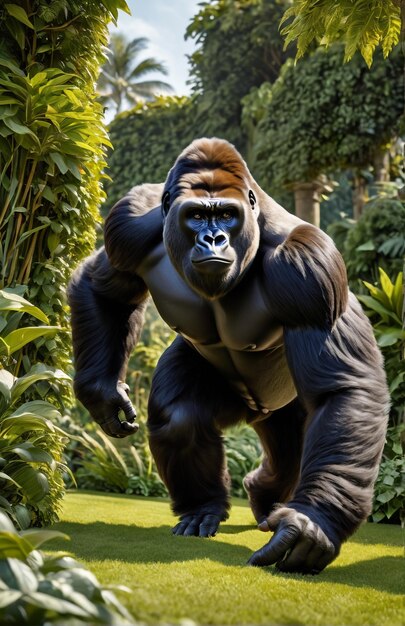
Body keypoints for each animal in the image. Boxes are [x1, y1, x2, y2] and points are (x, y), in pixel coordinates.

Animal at [68, 139, 388, 572]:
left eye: (226, 215)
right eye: (196, 215)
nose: (214, 239)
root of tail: (256, 412)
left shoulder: (309, 266)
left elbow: (340, 391)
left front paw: (312, 525)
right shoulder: (128, 225)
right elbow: (105, 289)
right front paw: (103, 394)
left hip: (284, 405)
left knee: (297, 442)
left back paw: (268, 500)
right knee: (187, 418)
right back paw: (208, 506)